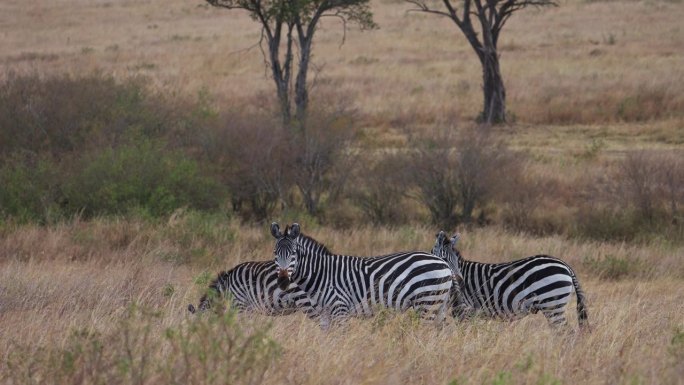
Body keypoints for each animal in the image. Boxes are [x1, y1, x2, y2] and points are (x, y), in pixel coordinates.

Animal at [272, 222, 454, 324]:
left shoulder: (340, 309)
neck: (320, 273)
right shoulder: (325, 314)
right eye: (275, 253)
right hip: (438, 303)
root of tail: (443, 262)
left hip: (426, 302)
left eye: (293, 254)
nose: (283, 281)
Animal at [432, 231, 588, 328]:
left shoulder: (466, 310)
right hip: (554, 306)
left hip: (552, 304)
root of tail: (565, 265)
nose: (461, 283)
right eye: (445, 259)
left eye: (455, 260)